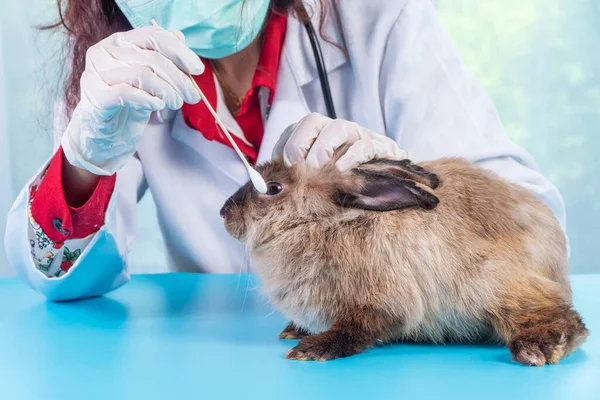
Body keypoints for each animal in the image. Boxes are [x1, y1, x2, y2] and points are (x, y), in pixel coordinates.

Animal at [219, 145, 584, 366]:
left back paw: (537, 349)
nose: (224, 212)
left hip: (492, 285)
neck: (321, 223)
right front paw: (296, 331)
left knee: (566, 320)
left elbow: (357, 329)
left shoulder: (379, 304)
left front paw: (313, 349)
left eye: (274, 189)